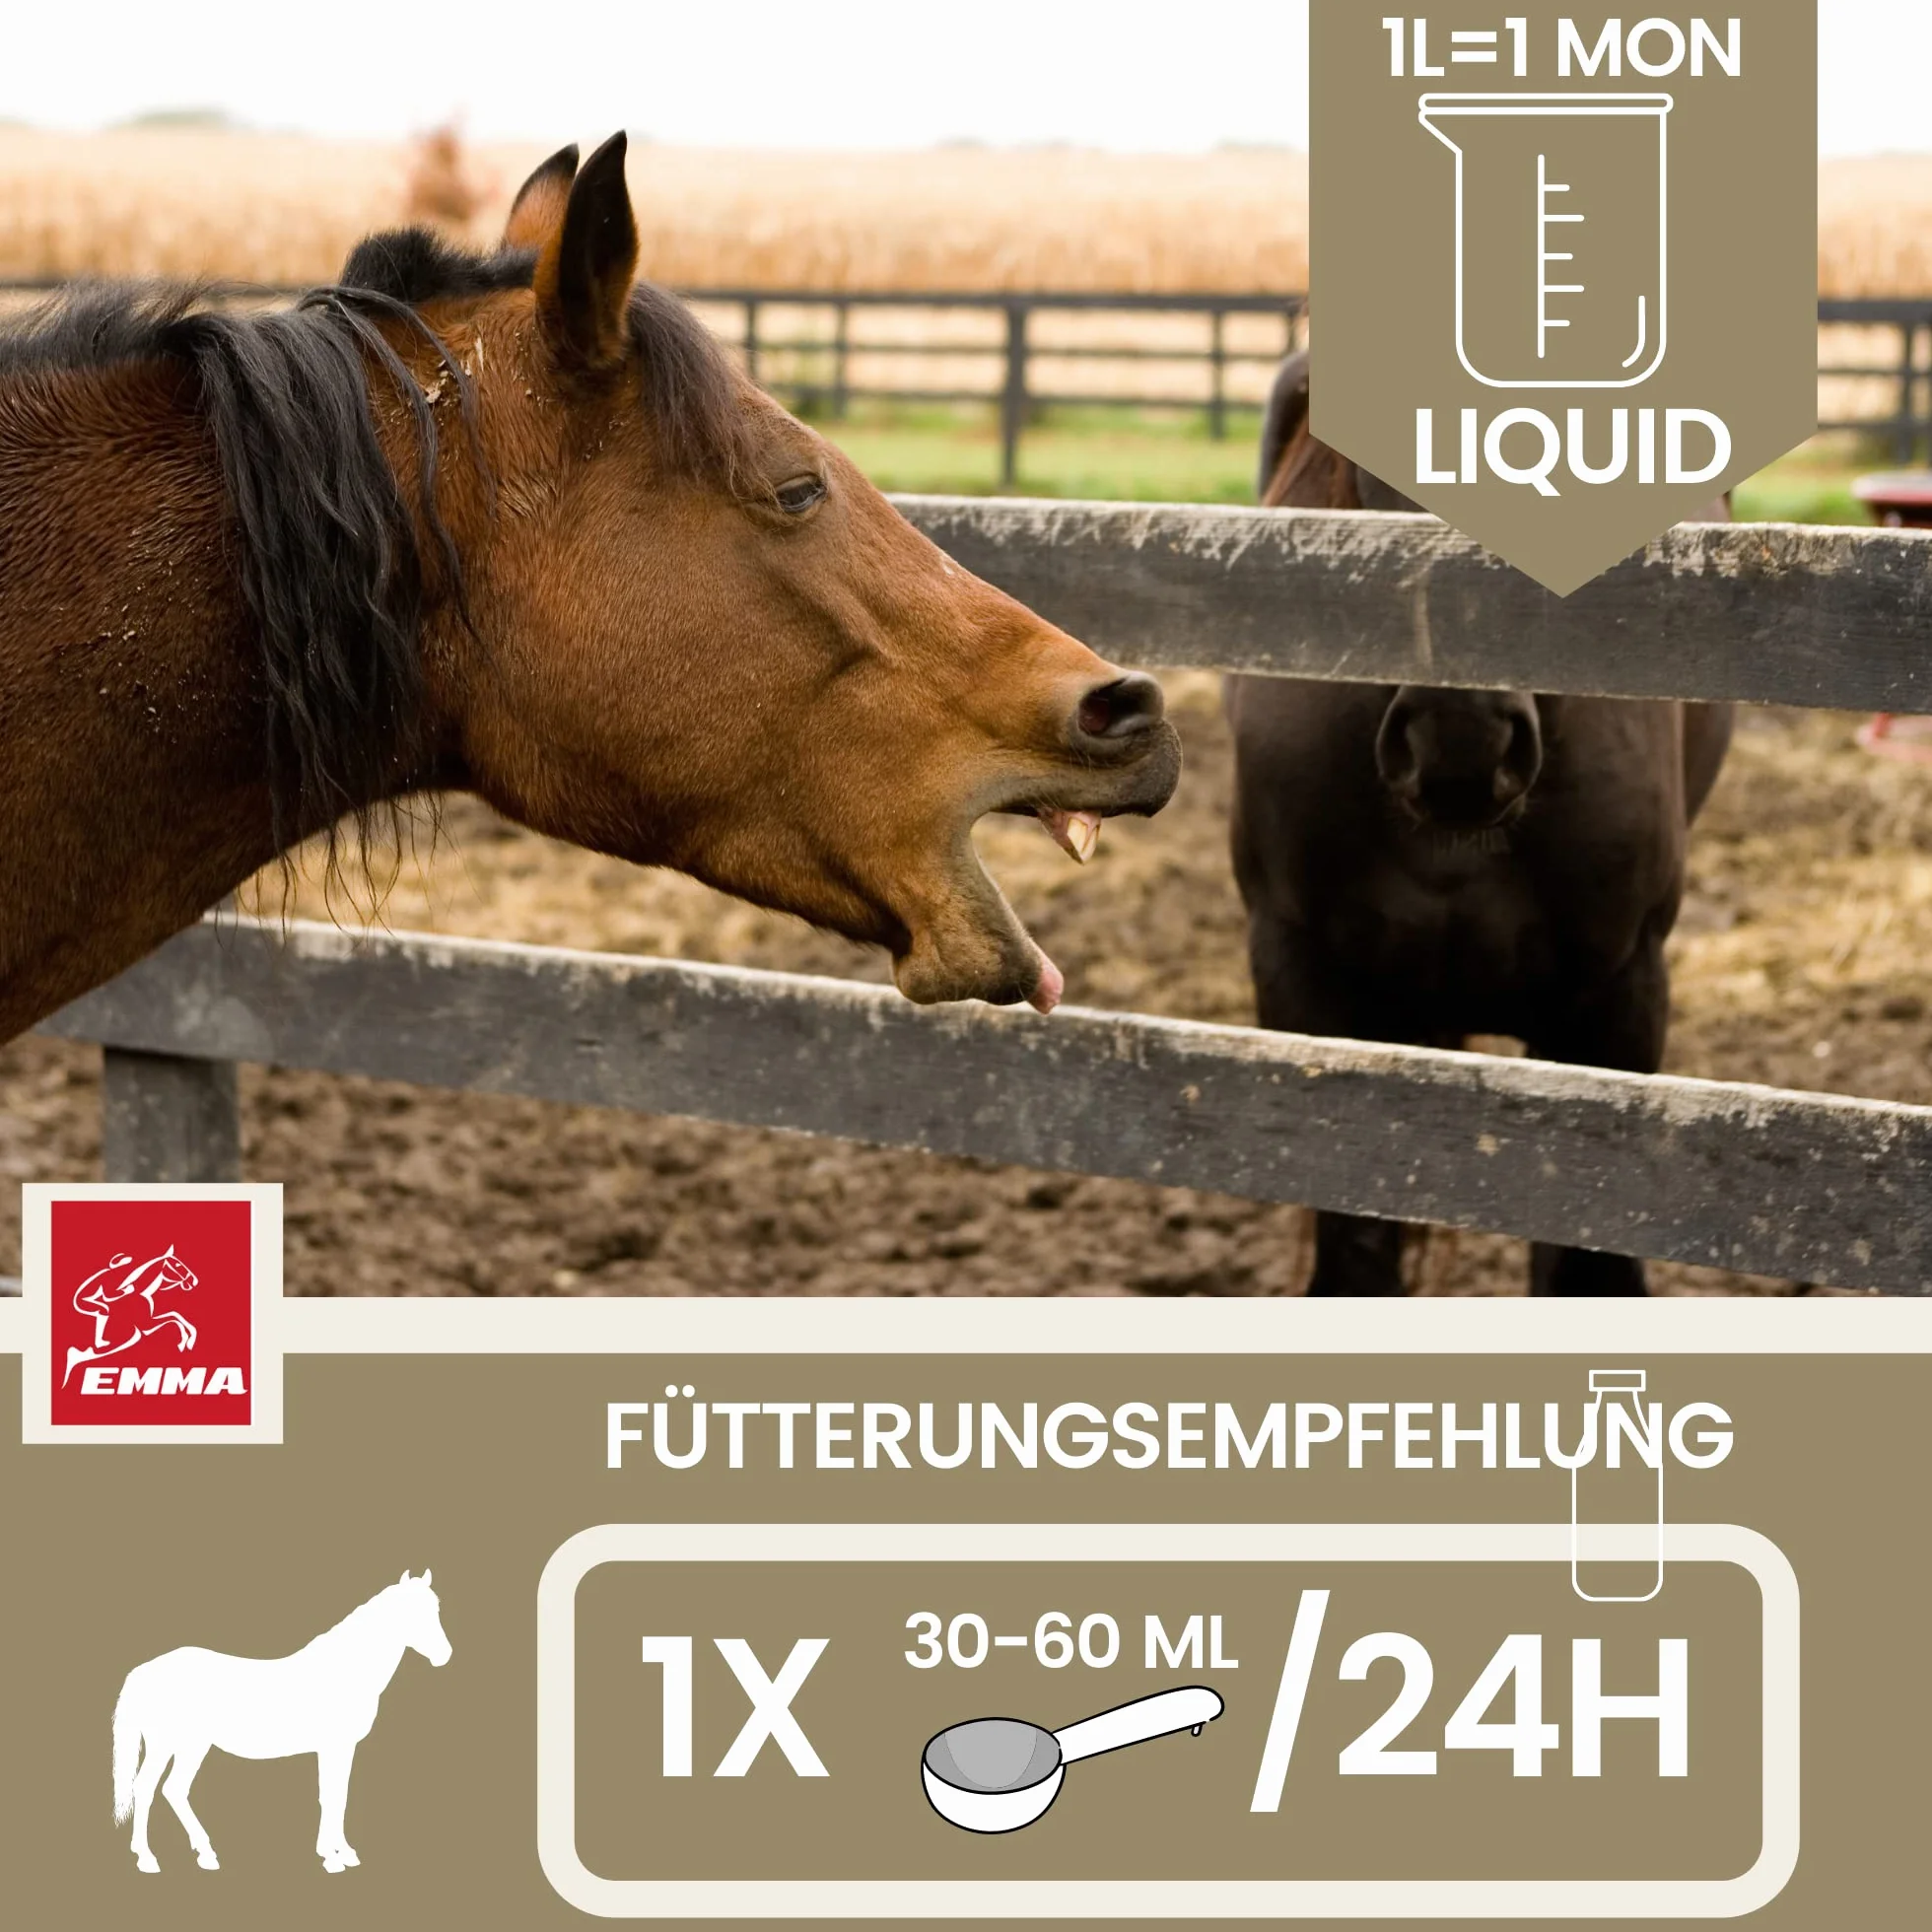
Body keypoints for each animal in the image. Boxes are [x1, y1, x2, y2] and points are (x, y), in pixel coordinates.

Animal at [63, 1245, 198, 1386]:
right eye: (177, 1265)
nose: (194, 1281)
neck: (141, 1292)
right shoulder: (146, 1325)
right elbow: (173, 1318)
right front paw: (184, 1342)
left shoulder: (149, 1321)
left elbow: (175, 1315)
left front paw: (189, 1340)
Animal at [112, 1568, 451, 1875]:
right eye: (412, 1613)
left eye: (435, 1610)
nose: (445, 1655)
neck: (343, 1671)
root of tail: (144, 1671)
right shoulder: (332, 1747)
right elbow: (329, 1796)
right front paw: (331, 1858)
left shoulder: (345, 1748)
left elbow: (339, 1797)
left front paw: (344, 1852)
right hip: (166, 1745)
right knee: (146, 1788)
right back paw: (147, 1859)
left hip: (192, 1746)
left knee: (174, 1790)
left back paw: (206, 1854)